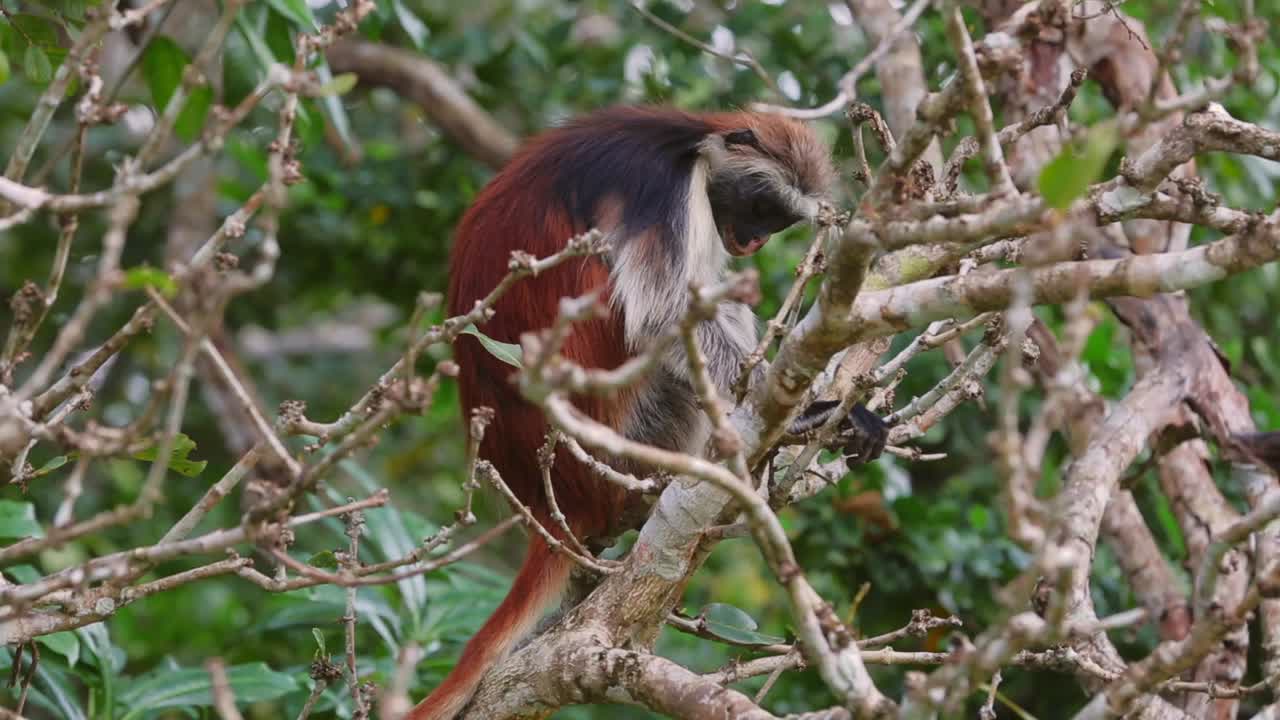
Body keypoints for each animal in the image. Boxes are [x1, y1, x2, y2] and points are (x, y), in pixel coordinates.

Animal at [414, 106, 887, 719]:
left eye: (777, 222)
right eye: (761, 208)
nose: (754, 241)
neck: (686, 143)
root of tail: (550, 492)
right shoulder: (663, 192)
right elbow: (663, 316)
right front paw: (811, 413)